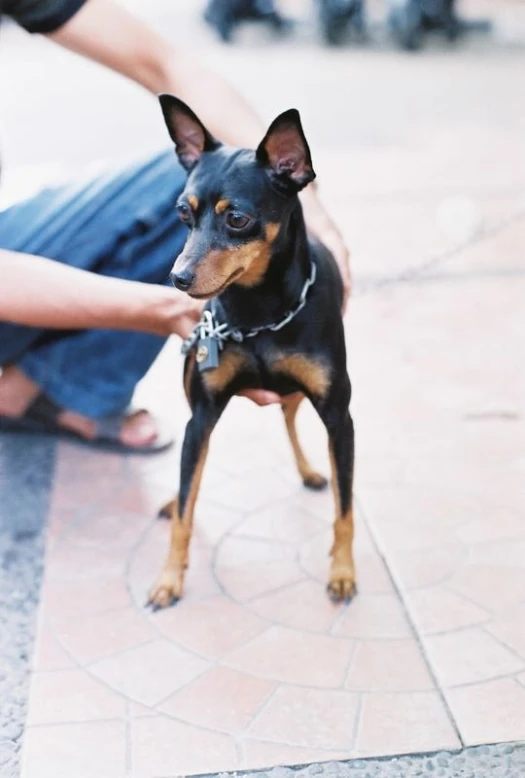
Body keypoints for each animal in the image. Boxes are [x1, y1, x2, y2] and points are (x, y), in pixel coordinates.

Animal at [147, 95, 356, 608]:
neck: (259, 314)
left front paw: (343, 573)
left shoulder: (340, 418)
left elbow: (344, 509)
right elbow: (186, 506)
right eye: (182, 213)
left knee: (289, 414)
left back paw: (310, 471)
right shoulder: (201, 416)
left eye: (236, 218)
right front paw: (169, 578)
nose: (177, 277)